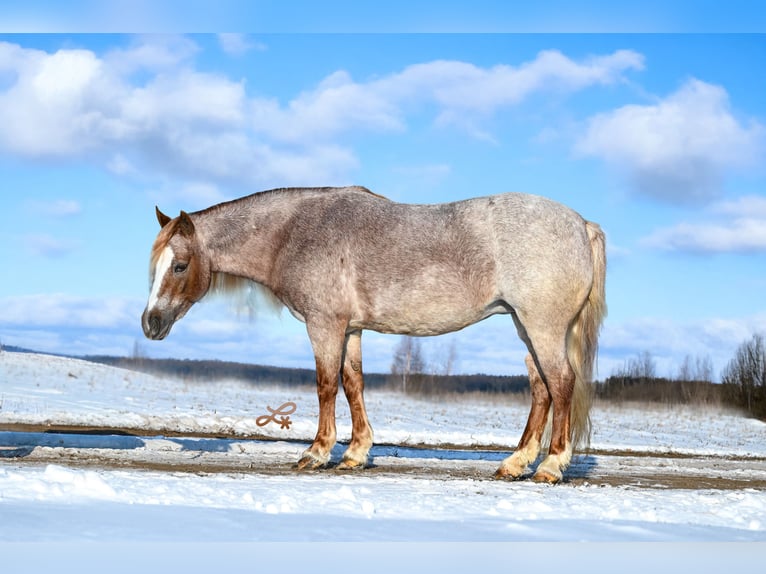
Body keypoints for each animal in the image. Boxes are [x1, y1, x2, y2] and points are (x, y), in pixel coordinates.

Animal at [141, 186, 606, 483]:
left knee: (561, 384)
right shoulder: (352, 329)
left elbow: (326, 385)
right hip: (524, 327)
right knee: (541, 389)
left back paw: (549, 467)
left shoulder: (325, 324)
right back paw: (515, 463)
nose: (150, 323)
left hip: (541, 327)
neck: (294, 233)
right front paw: (355, 454)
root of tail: (581, 224)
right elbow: (353, 384)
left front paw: (316, 453)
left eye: (179, 265)